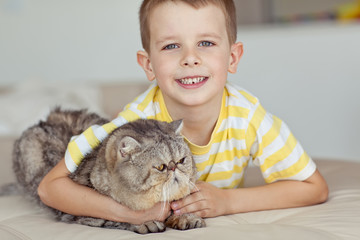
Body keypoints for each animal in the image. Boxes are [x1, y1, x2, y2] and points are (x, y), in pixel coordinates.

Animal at [11, 108, 205, 233]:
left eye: (181, 160)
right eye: (160, 167)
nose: (174, 167)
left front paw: (186, 217)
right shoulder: (80, 216)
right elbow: (116, 219)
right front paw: (146, 222)